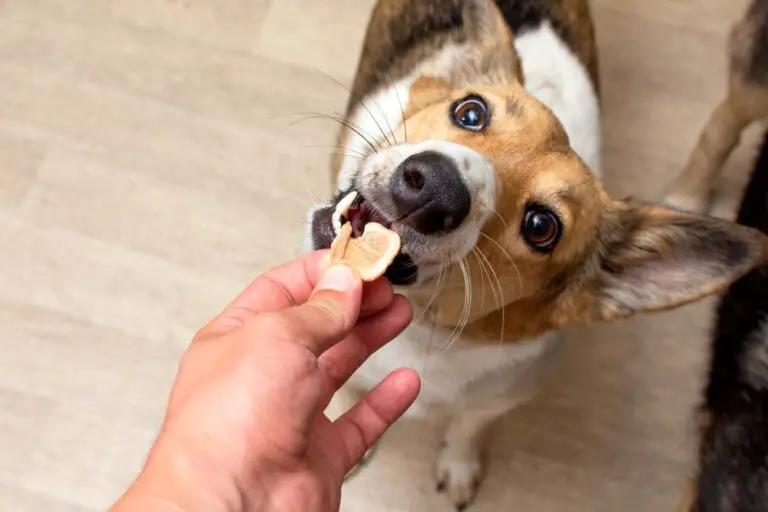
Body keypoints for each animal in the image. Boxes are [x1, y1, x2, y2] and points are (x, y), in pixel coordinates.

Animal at [306, 0, 768, 508]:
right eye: (470, 112)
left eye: (541, 227)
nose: (434, 186)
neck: (426, 332)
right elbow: (348, 385)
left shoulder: (499, 395)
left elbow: (468, 426)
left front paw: (458, 465)